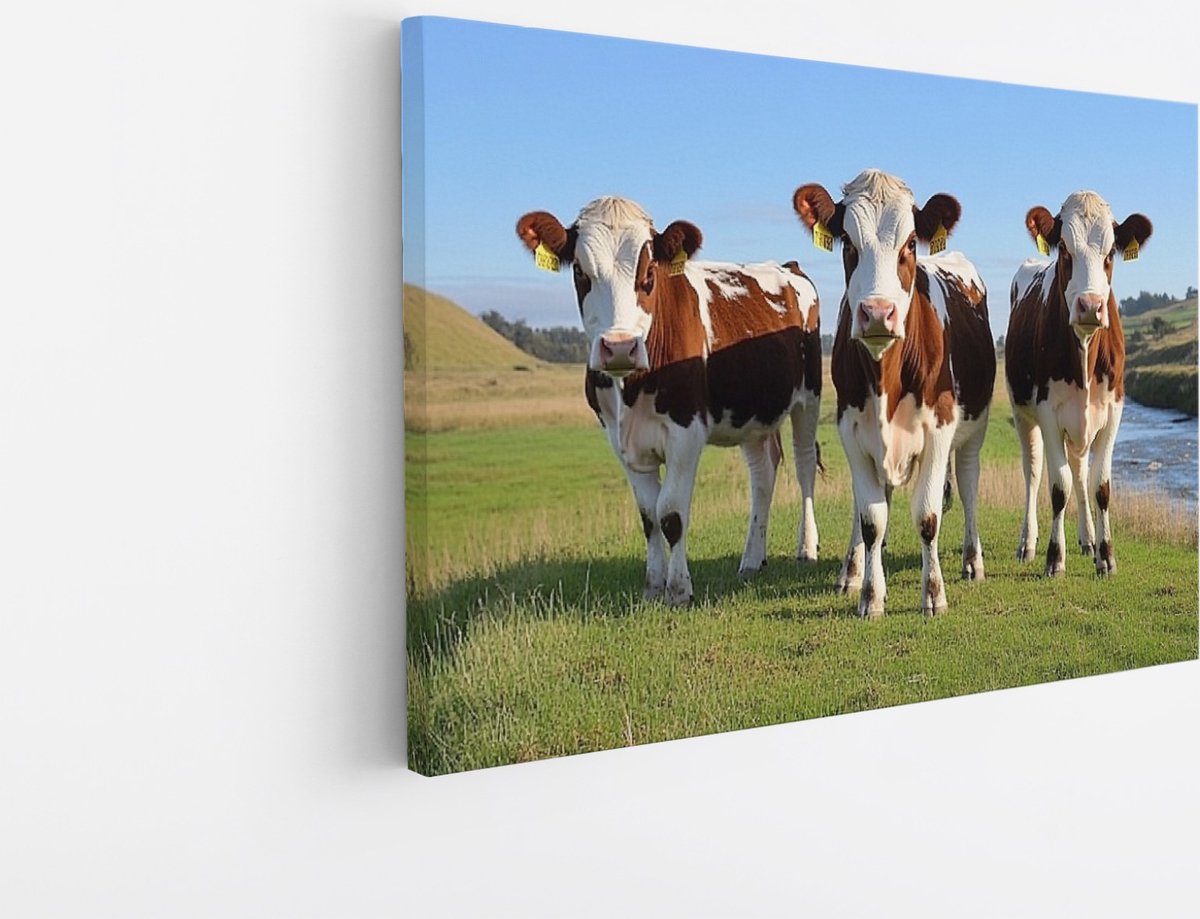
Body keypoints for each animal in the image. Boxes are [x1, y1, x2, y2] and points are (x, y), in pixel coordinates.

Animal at [516, 196, 823, 606]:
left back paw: (806, 549)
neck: (630, 389)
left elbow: (671, 513)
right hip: (752, 412)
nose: (619, 347)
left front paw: (678, 589)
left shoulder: (686, 433)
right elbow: (649, 516)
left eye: (649, 272)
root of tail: (788, 266)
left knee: (804, 466)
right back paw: (752, 559)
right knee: (763, 473)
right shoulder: (620, 440)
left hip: (809, 397)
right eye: (580, 271)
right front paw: (652, 585)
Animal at [792, 169, 995, 618]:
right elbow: (871, 518)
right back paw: (853, 570)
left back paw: (972, 561)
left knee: (969, 484)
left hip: (973, 433)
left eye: (909, 244)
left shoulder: (939, 429)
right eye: (848, 243)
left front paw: (933, 594)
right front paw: (869, 593)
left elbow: (928, 516)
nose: (877, 313)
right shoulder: (851, 431)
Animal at [1005, 191, 1152, 577]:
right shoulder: (1047, 412)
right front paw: (1055, 558)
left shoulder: (1113, 411)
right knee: (1033, 472)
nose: (1090, 305)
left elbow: (1099, 485)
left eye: (1110, 253)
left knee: (1080, 471)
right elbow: (1058, 487)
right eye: (1066, 253)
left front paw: (1106, 556)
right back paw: (1027, 543)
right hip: (1022, 414)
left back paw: (1087, 541)